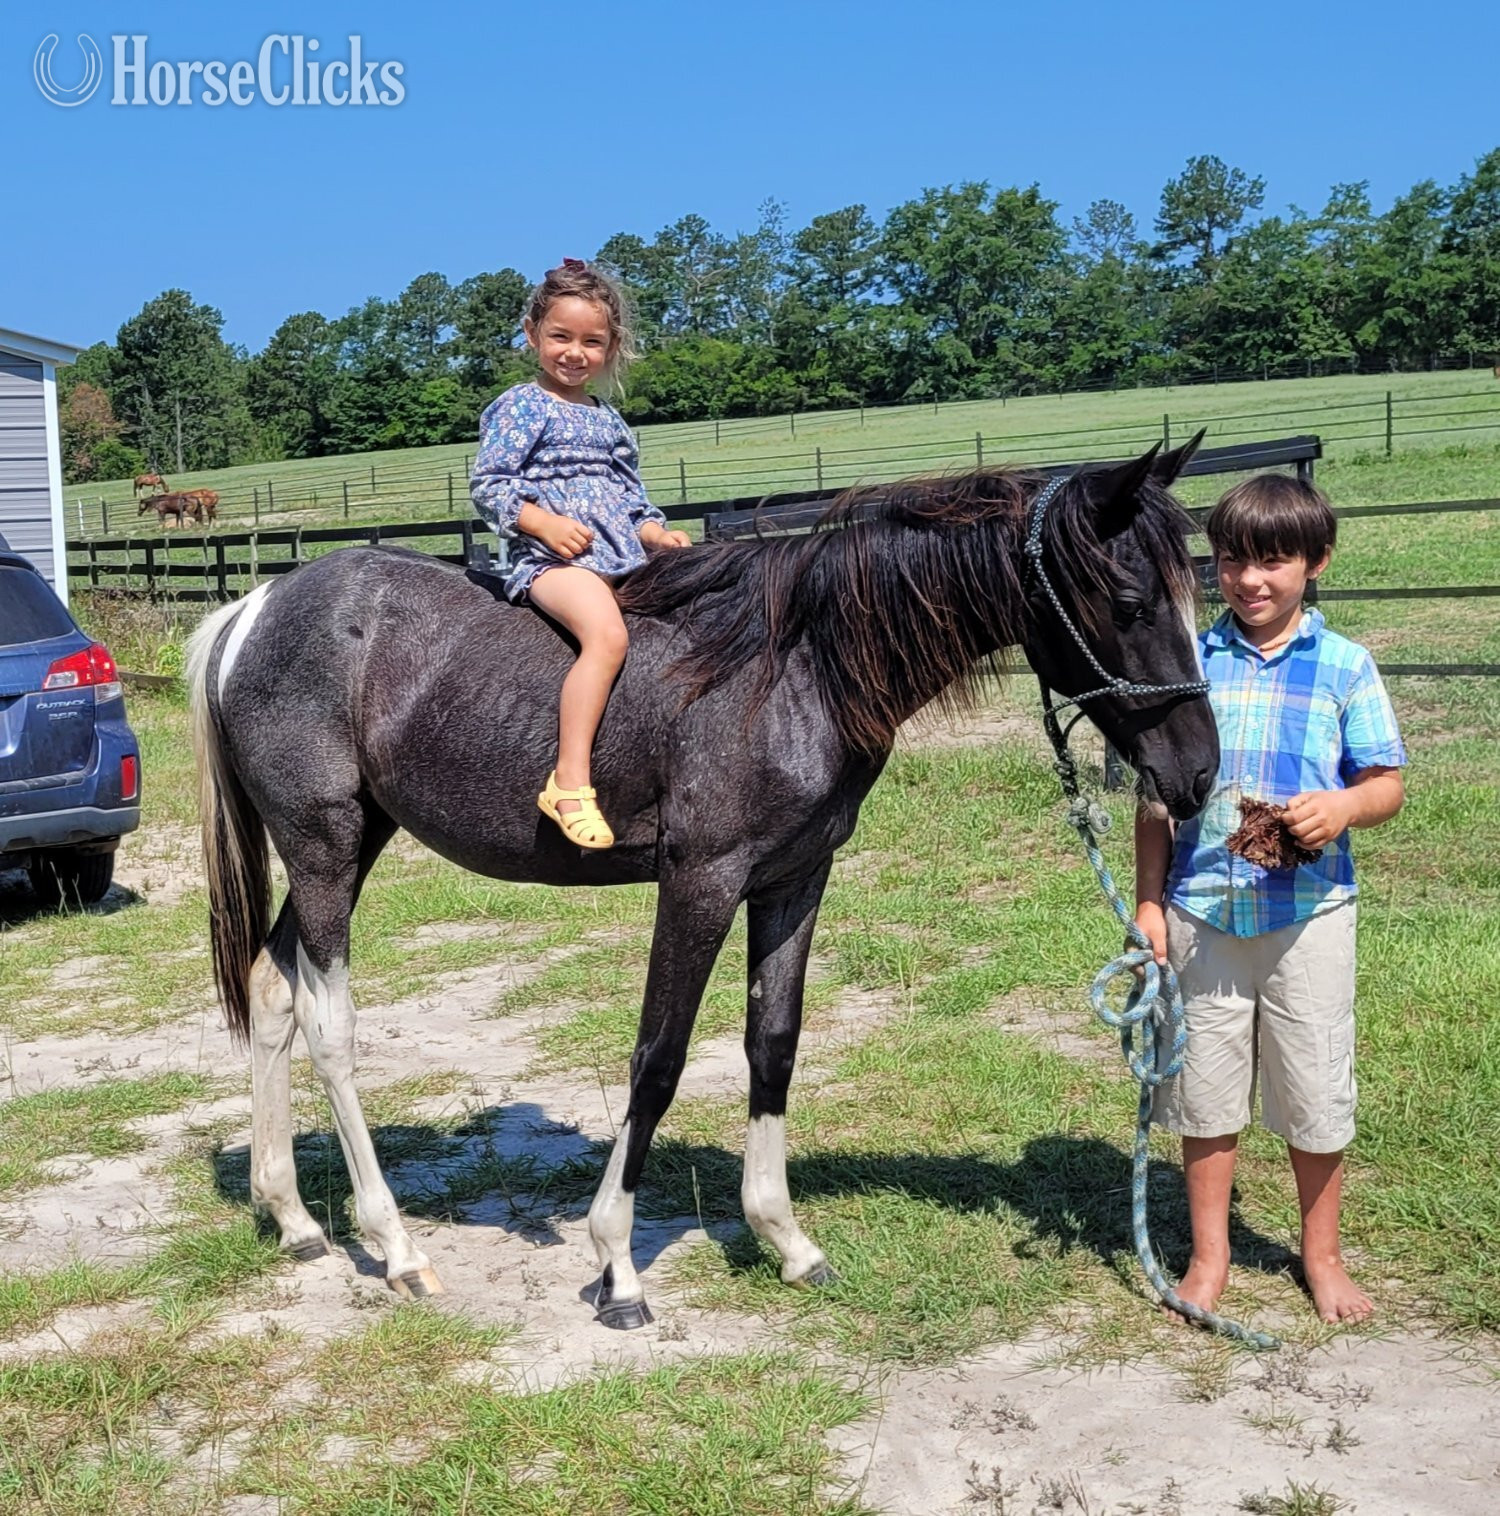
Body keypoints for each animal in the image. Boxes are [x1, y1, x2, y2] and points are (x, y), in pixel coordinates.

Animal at [186, 439, 1218, 1327]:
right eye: (1131, 601)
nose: (1198, 774)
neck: (796, 665)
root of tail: (252, 610)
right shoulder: (701, 880)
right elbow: (659, 1057)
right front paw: (618, 1266)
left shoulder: (794, 878)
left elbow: (773, 1044)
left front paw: (785, 1239)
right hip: (324, 846)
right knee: (328, 1023)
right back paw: (396, 1247)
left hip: (356, 842)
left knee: (271, 988)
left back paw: (293, 1219)